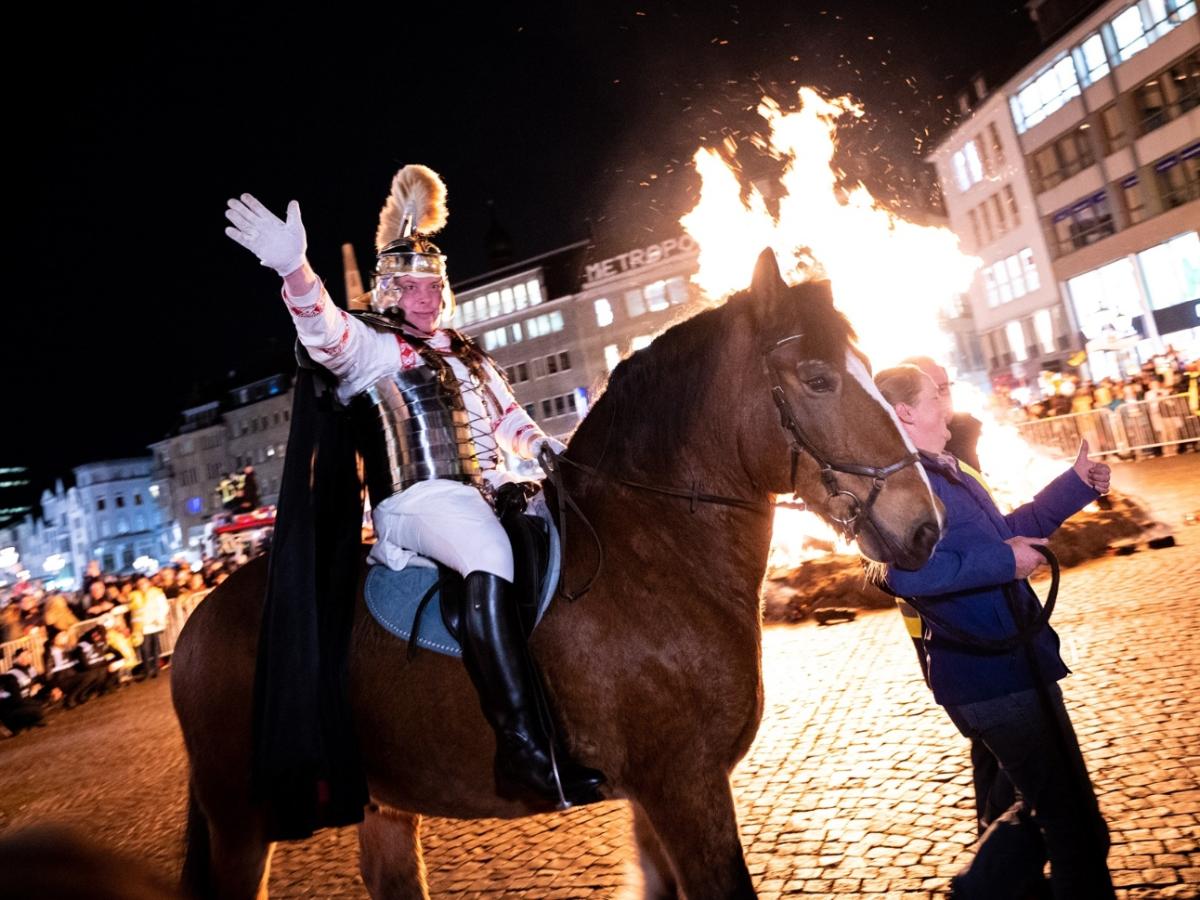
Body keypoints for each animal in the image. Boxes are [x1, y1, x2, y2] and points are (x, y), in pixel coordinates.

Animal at [174, 250, 940, 897]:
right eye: (819, 378)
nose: (925, 527)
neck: (653, 550)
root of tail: (197, 624)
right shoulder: (685, 787)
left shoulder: (656, 797)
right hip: (242, 822)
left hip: (379, 805)